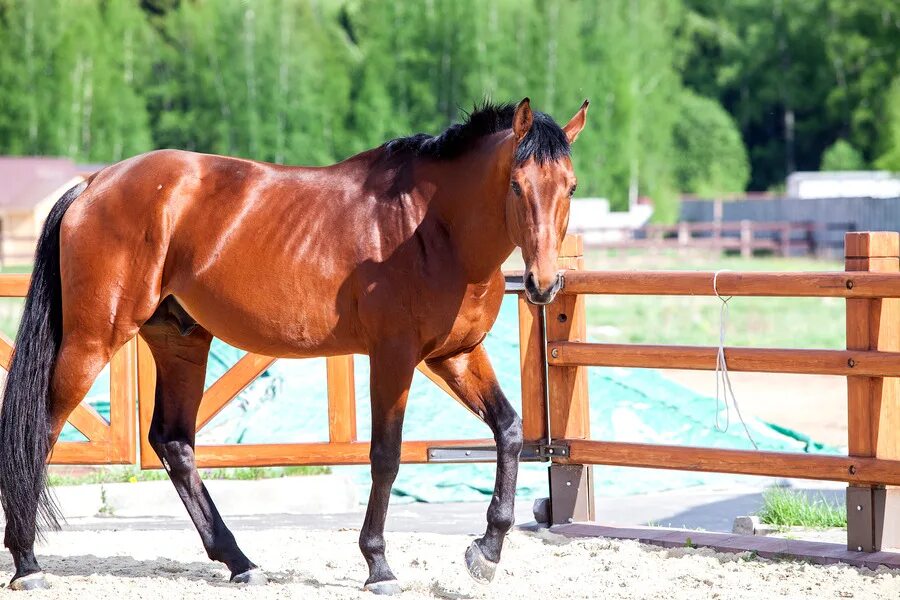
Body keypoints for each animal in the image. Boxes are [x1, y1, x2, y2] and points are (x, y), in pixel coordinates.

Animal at [0, 97, 588, 592]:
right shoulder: (393, 358)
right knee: (41, 434)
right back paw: (27, 564)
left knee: (173, 443)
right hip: (93, 341)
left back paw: (238, 561)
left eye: (571, 187)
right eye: (517, 185)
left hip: (180, 340)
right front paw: (378, 565)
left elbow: (509, 430)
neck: (430, 229)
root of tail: (93, 184)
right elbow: (386, 456)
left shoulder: (456, 355)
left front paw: (486, 551)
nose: (542, 284)